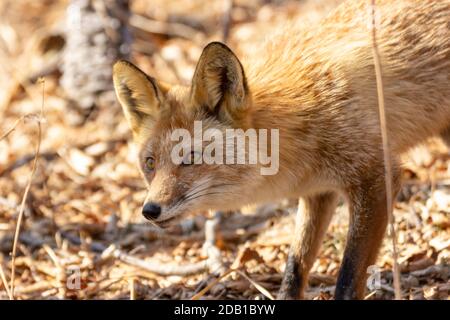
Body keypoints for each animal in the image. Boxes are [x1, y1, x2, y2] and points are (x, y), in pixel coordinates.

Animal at [114, 0, 450, 300]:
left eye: (192, 157)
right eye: (149, 163)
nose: (149, 210)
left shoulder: (377, 177)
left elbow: (348, 276)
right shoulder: (318, 191)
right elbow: (295, 264)